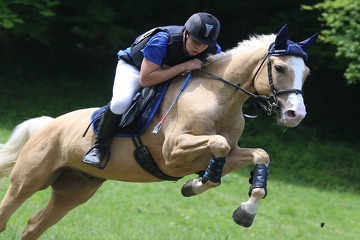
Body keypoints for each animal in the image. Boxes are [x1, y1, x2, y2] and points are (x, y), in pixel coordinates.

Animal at [0, 25, 316, 239]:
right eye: (279, 67)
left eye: (307, 73)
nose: (295, 115)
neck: (220, 97)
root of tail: (48, 124)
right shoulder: (173, 152)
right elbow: (219, 145)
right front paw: (197, 184)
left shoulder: (224, 154)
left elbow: (259, 155)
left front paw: (241, 210)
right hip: (28, 180)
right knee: (8, 213)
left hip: (74, 190)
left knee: (33, 226)